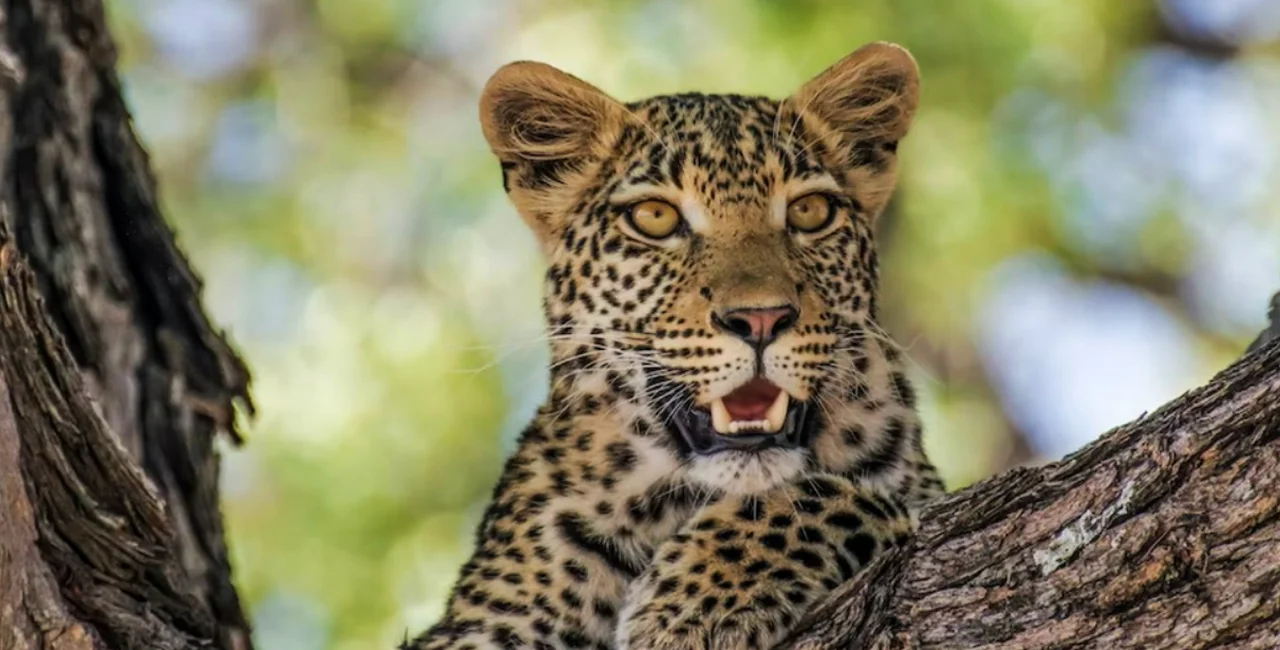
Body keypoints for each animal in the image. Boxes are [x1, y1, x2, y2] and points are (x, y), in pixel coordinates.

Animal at [409, 42, 945, 650]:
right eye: (655, 217)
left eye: (810, 212)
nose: (761, 318)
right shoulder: (478, 628)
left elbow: (844, 496)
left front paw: (692, 603)